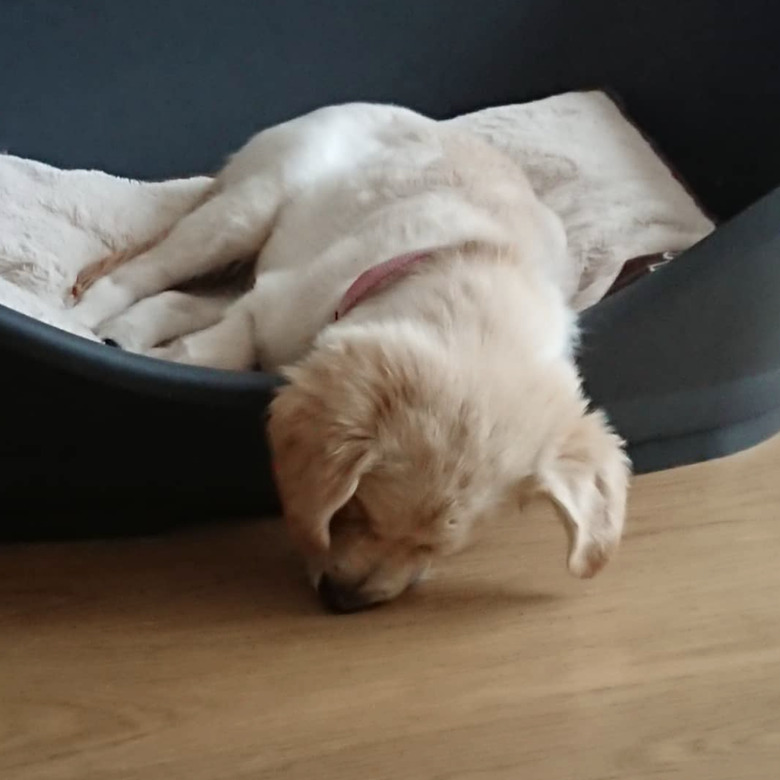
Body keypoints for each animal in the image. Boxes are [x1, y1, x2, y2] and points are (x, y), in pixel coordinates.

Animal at [70, 102, 632, 608]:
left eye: (437, 549)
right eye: (356, 507)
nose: (345, 603)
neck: (483, 265)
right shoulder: (272, 305)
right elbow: (215, 349)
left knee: (178, 298)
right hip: (247, 209)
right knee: (143, 274)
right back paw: (88, 321)